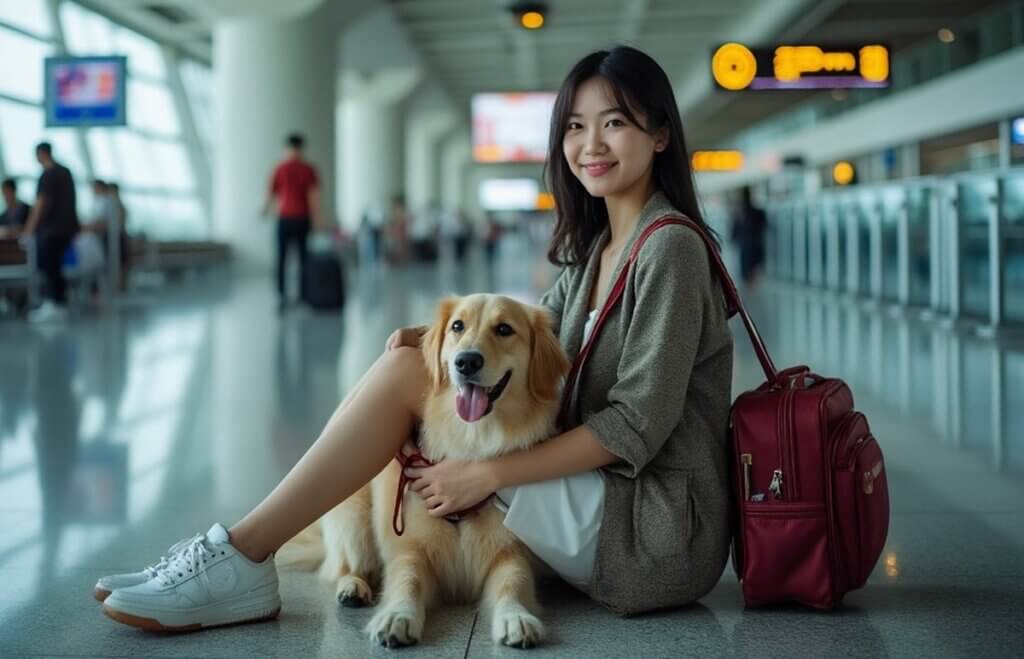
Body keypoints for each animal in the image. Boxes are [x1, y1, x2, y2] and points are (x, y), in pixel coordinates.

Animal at [282, 292, 569, 646]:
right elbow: (407, 579)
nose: (466, 362)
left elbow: (512, 583)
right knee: (347, 565)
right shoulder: (410, 549)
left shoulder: (511, 552)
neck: (472, 438)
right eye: (457, 326)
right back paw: (353, 587)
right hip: (353, 517)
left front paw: (515, 617)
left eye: (504, 329)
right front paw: (397, 616)